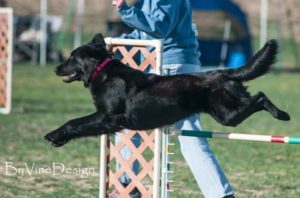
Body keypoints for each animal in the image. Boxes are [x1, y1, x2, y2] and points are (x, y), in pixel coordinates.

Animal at [44, 33, 290, 146]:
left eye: (71, 58)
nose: (55, 67)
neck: (102, 71)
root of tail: (225, 72)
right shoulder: (107, 120)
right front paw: (59, 139)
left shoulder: (108, 117)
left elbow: (74, 122)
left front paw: (53, 135)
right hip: (226, 113)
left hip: (227, 115)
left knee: (260, 97)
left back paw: (282, 114)